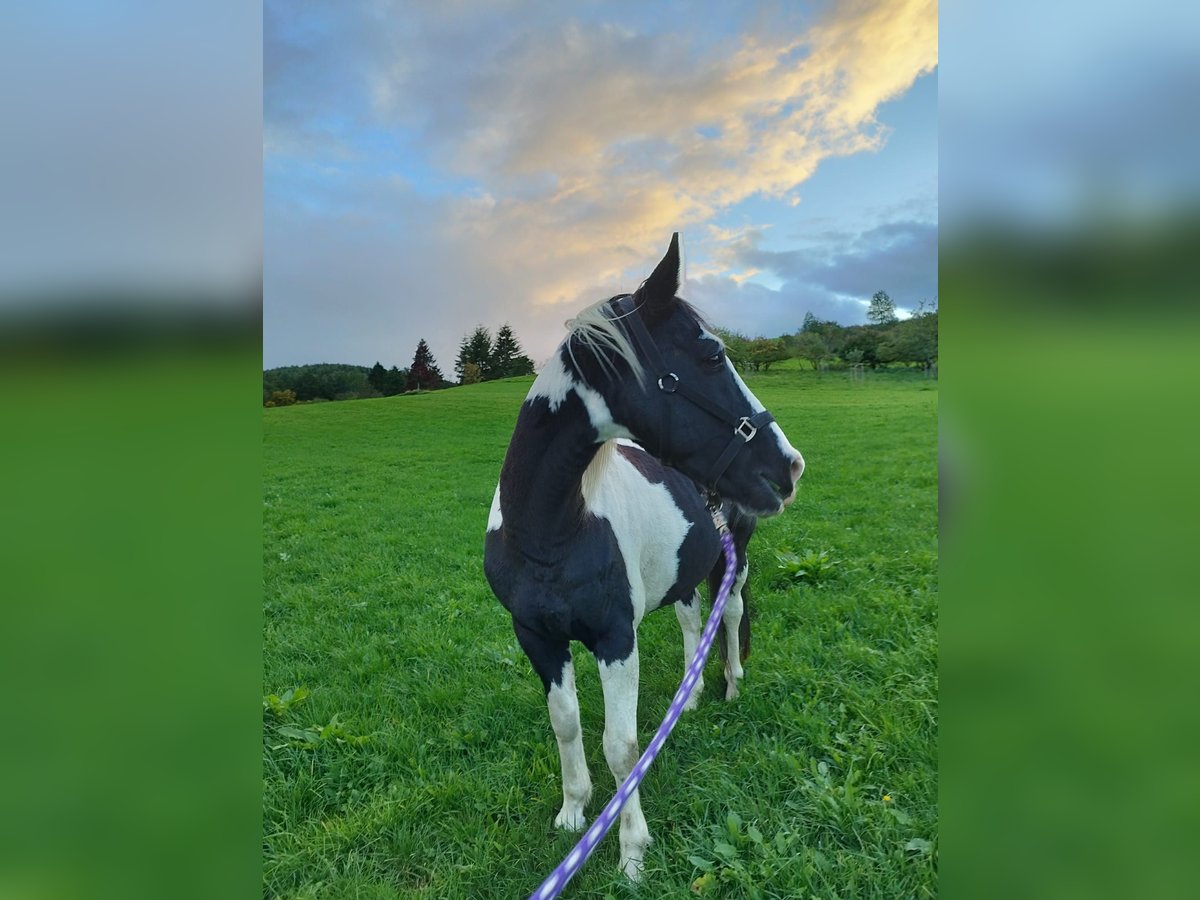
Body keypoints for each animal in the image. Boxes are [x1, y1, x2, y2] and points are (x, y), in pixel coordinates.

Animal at [480, 236, 806, 883]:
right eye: (711, 355)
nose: (789, 467)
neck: (551, 531)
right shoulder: (536, 635)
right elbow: (566, 722)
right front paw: (574, 812)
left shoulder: (614, 638)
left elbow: (621, 745)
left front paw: (631, 850)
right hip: (686, 572)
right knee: (691, 622)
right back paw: (693, 694)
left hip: (736, 560)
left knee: (730, 615)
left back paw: (730, 686)